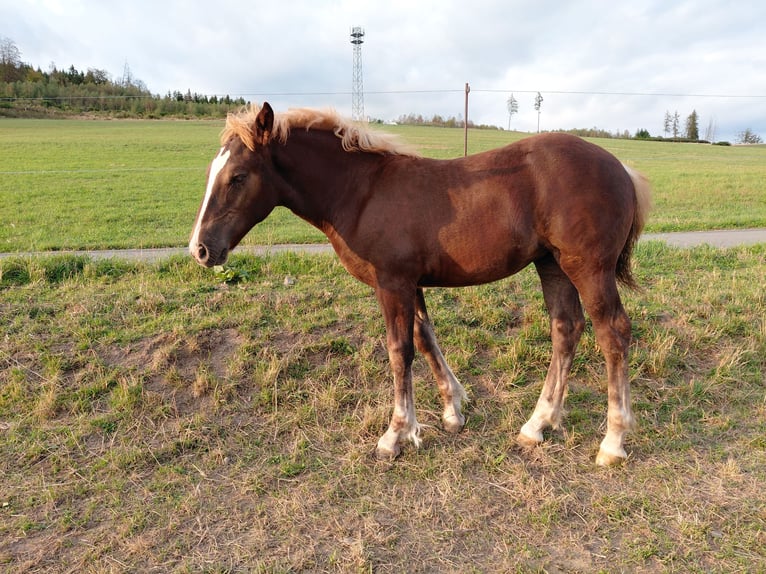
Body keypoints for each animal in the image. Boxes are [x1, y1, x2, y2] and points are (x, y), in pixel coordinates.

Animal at [189, 102, 651, 466]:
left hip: (588, 268)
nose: (201, 249)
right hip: (552, 264)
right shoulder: (410, 284)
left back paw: (612, 442)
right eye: (212, 171)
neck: (361, 192)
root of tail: (622, 169)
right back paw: (538, 424)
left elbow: (400, 351)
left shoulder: (392, 283)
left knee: (613, 333)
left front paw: (395, 435)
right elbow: (425, 339)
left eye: (237, 176)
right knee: (565, 329)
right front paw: (452, 412)